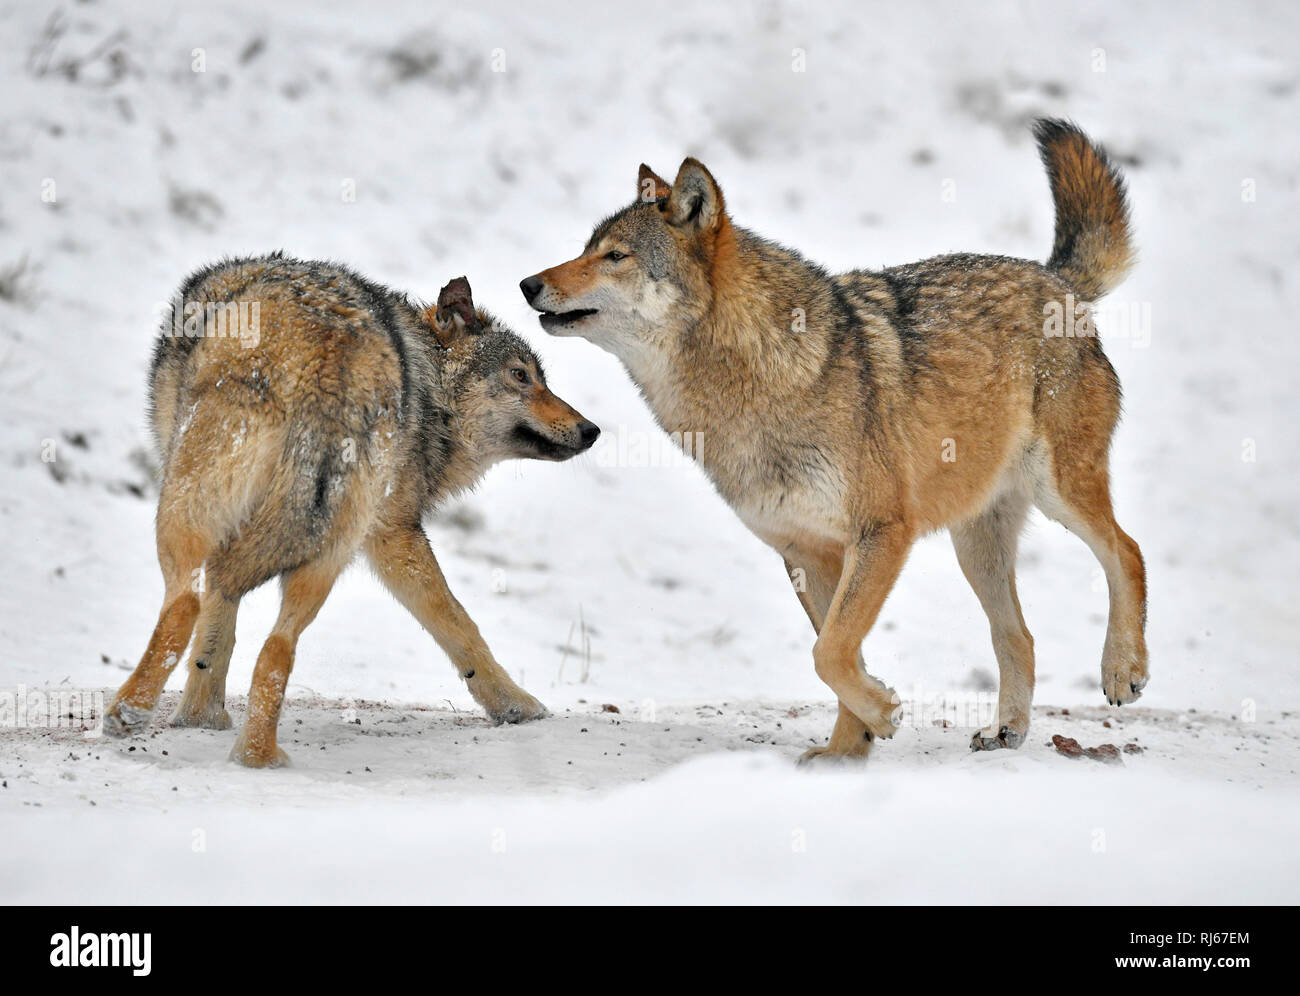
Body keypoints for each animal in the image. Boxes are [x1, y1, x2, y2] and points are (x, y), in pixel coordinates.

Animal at [105, 254, 599, 767]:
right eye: (522, 375)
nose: (592, 430)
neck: (432, 395)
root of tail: (330, 343)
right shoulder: (390, 532)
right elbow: (458, 622)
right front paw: (202, 715)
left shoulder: (390, 533)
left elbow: (457, 624)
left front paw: (200, 716)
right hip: (301, 531)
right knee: (252, 631)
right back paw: (242, 749)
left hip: (260, 521)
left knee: (218, 615)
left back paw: (183, 730)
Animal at [521, 119, 1146, 763]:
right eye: (586, 248)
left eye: (614, 256)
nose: (527, 284)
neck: (754, 383)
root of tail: (1056, 280)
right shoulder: (807, 555)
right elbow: (836, 657)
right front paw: (846, 754)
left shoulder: (881, 534)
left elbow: (829, 654)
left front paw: (881, 715)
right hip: (977, 545)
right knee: (1017, 635)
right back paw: (1006, 732)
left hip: (1058, 493)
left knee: (1127, 551)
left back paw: (1123, 670)